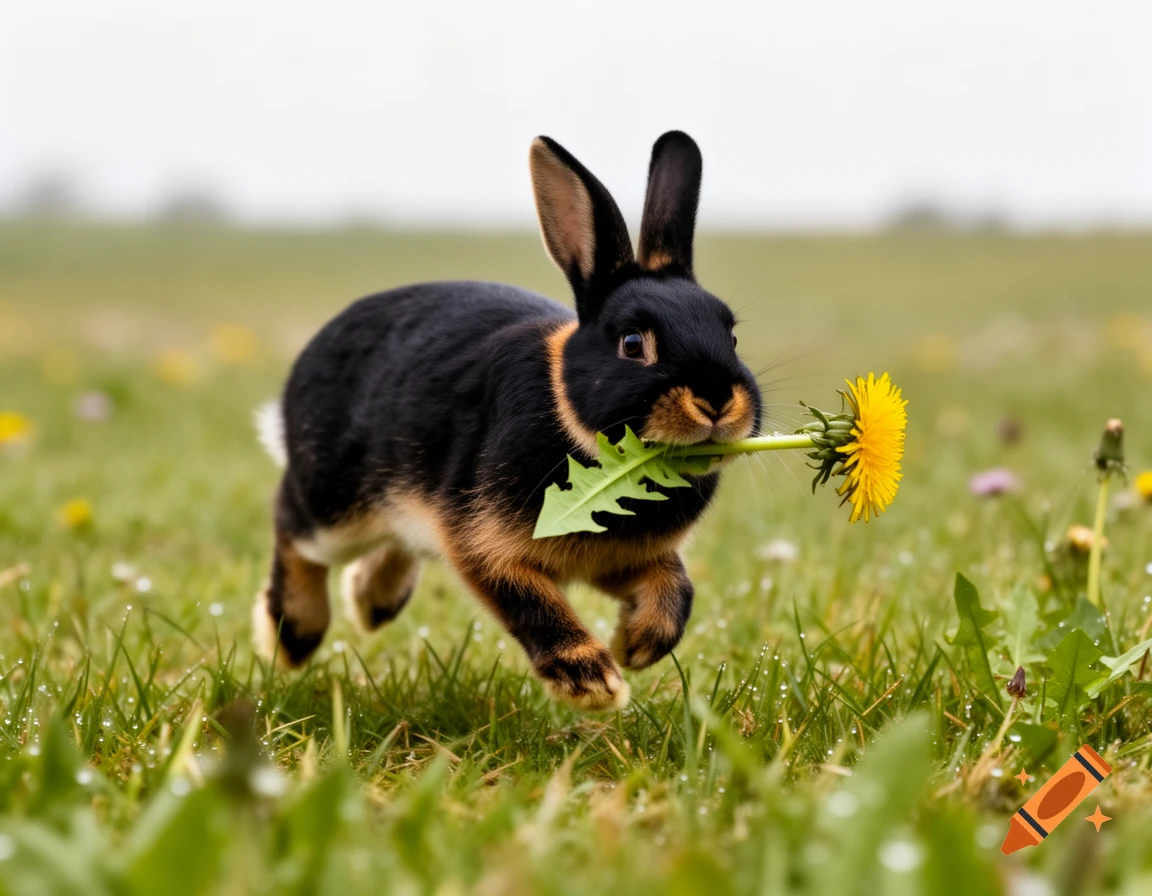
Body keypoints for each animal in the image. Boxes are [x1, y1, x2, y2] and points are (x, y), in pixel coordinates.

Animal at [253, 131, 762, 710]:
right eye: (633, 343)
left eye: (731, 335)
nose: (716, 400)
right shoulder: (482, 544)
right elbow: (532, 604)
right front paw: (593, 682)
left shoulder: (628, 560)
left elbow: (677, 589)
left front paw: (637, 645)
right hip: (335, 507)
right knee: (292, 528)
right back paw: (295, 637)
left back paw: (372, 603)